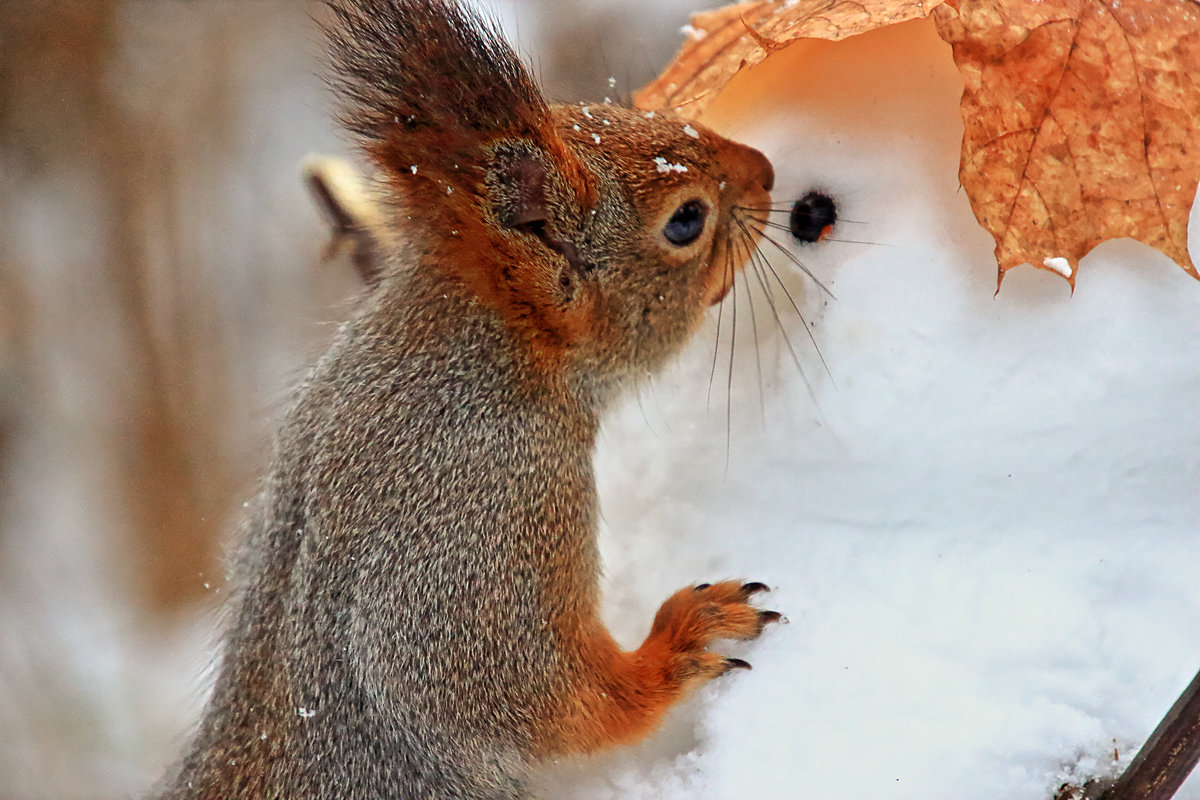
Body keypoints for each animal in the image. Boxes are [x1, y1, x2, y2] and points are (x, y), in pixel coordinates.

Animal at [157, 1, 777, 800]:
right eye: (685, 221)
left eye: (610, 111)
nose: (766, 171)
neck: (485, 350)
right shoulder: (490, 505)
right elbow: (519, 693)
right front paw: (679, 642)